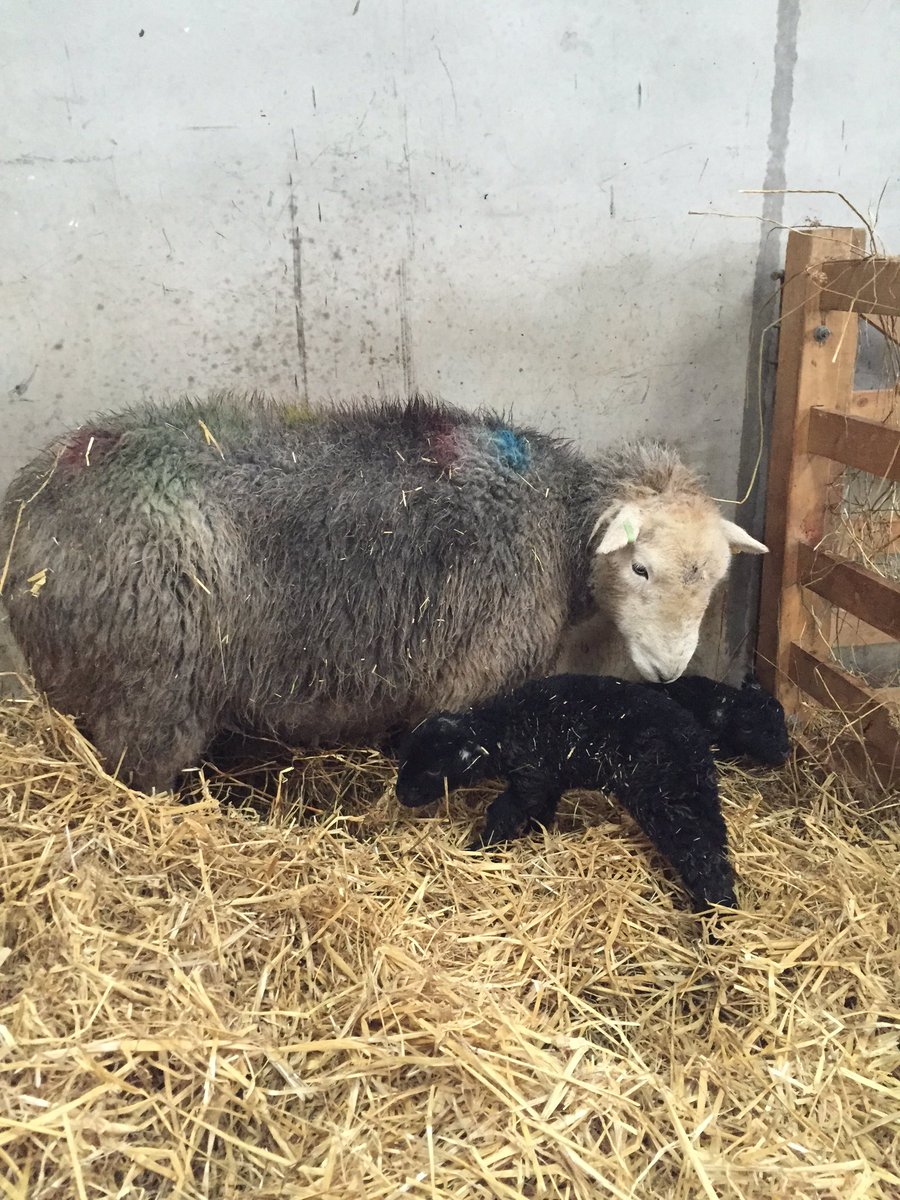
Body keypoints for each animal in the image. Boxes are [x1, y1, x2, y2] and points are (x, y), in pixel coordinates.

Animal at [0, 392, 767, 793]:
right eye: (640, 569)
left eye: (713, 580)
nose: (671, 669)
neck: (552, 518)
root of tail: (27, 505)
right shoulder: (478, 669)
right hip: (151, 682)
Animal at [395, 673, 737, 913]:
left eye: (432, 771)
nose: (401, 796)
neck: (500, 729)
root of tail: (697, 748)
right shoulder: (550, 777)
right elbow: (542, 808)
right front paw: (536, 834)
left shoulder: (531, 773)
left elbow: (506, 811)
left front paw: (479, 847)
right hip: (694, 795)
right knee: (714, 839)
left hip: (662, 799)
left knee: (700, 856)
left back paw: (715, 911)